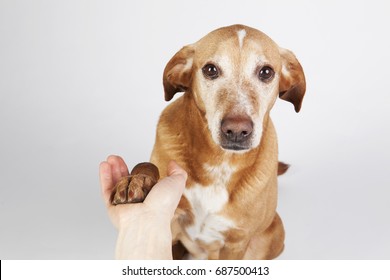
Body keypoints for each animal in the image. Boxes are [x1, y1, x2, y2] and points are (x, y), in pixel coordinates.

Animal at [114, 24, 306, 260]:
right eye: (210, 69)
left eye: (266, 72)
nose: (236, 130)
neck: (219, 164)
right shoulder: (171, 224)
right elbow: (147, 166)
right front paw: (136, 180)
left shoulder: (236, 244)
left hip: (275, 234)